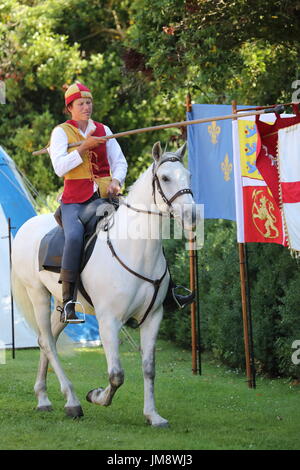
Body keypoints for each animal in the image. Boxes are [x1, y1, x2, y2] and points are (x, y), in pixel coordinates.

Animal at [10, 140, 196, 426]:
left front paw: (153, 415)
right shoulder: (109, 320)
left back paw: (43, 398)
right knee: (49, 343)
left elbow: (149, 369)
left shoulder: (153, 317)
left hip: (63, 304)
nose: (192, 215)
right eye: (165, 178)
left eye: (188, 176)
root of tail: (26, 227)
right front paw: (96, 396)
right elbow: (117, 374)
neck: (137, 249)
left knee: (45, 340)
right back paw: (72, 402)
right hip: (38, 295)